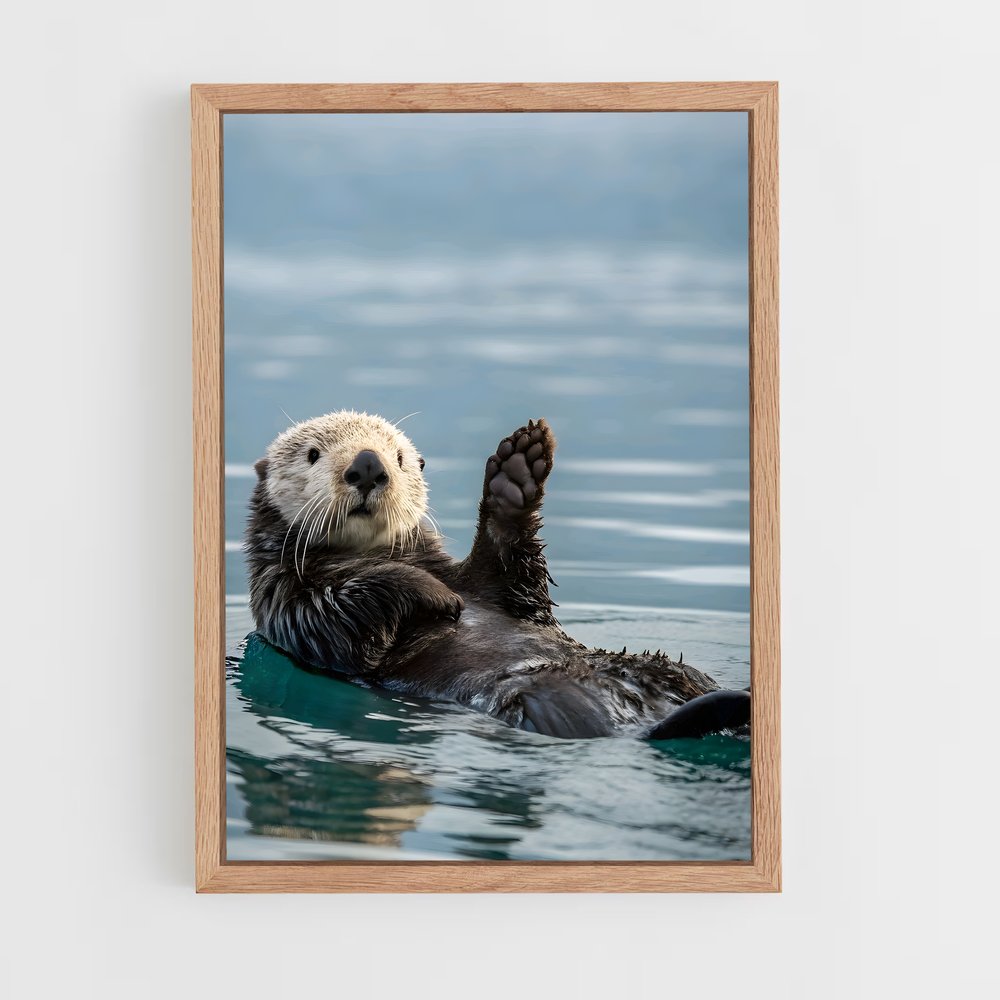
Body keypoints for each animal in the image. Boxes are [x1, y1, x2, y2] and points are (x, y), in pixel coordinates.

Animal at [245, 411, 750, 740]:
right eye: (313, 454)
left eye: (400, 457)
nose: (368, 464)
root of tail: (645, 718)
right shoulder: (286, 604)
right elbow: (342, 615)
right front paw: (437, 596)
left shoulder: (495, 588)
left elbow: (512, 580)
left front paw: (515, 475)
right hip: (548, 700)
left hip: (675, 666)